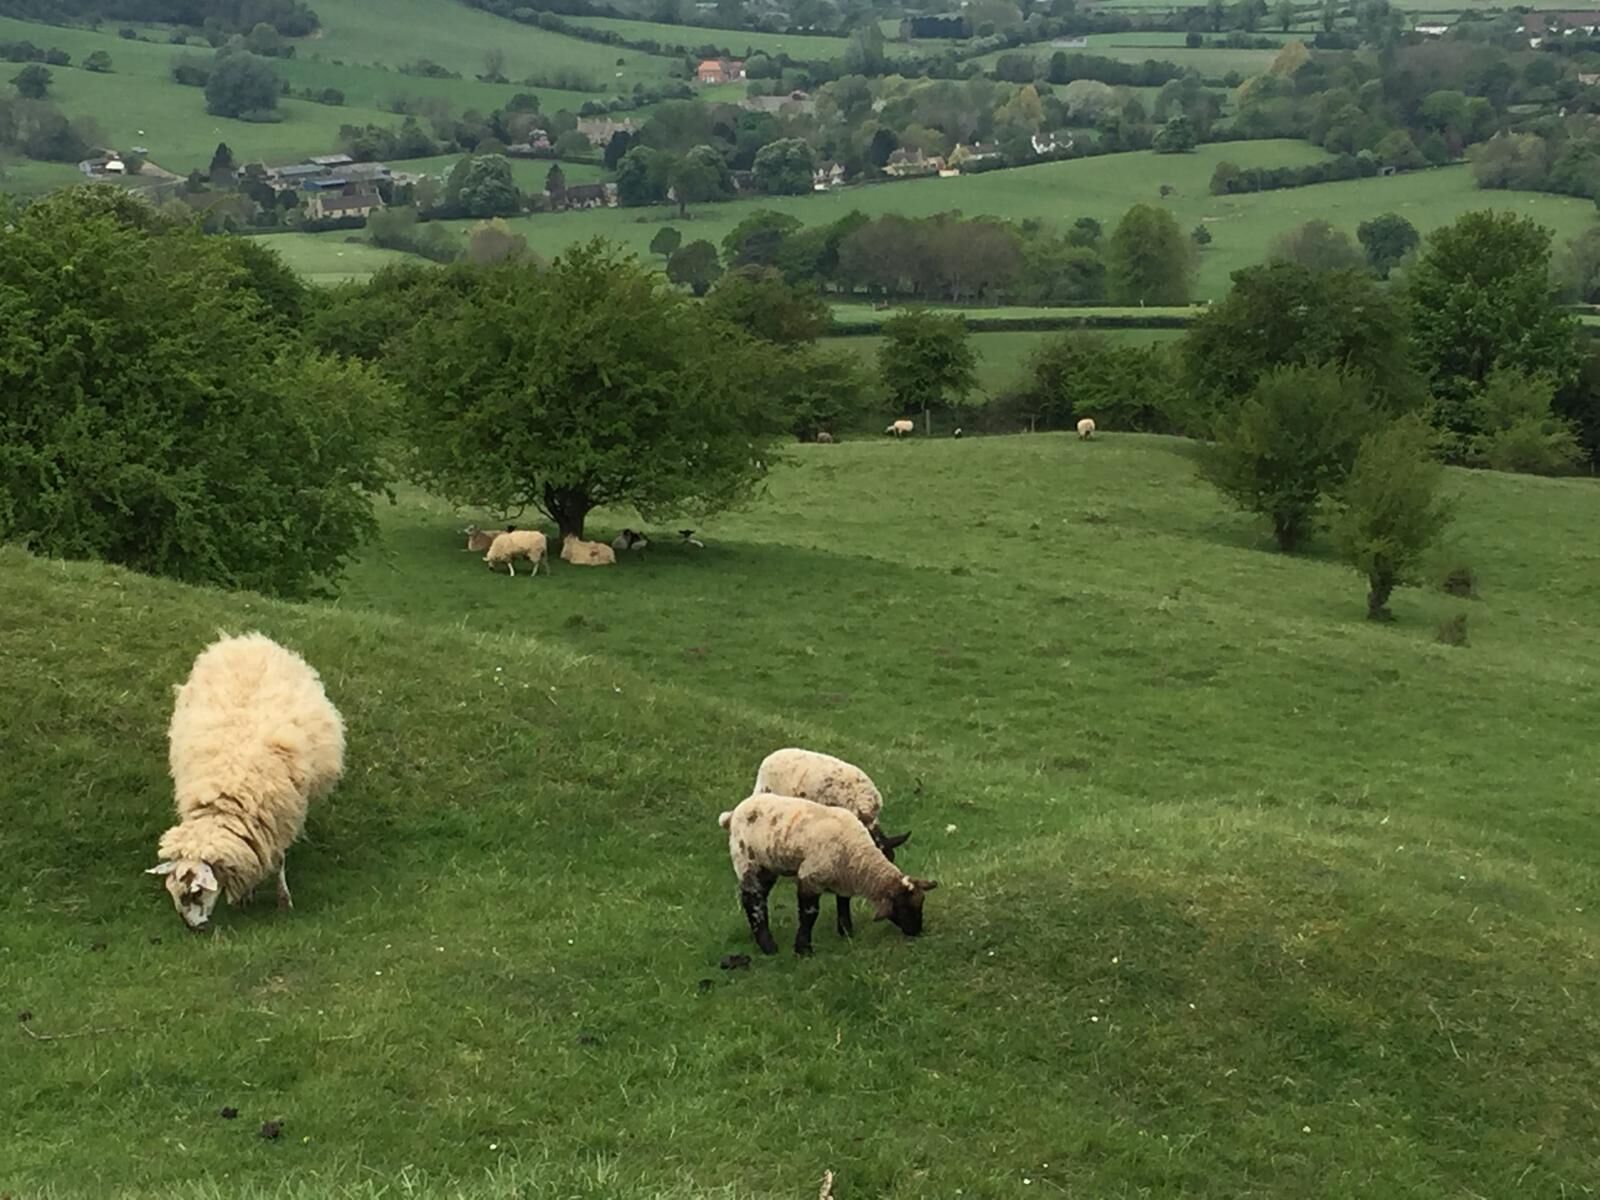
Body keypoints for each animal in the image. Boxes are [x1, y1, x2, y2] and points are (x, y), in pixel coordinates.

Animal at [148, 632, 344, 931]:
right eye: (173, 891)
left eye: (196, 892)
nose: (193, 928)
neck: (226, 798)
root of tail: (244, 640)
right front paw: (246, 896)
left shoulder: (278, 815)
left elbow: (278, 859)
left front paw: (283, 900)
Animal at [718, 794, 938, 955]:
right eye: (904, 908)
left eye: (922, 903)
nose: (916, 932)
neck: (856, 851)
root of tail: (733, 814)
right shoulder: (810, 876)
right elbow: (809, 913)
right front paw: (803, 949)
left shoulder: (843, 877)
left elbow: (843, 902)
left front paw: (846, 932)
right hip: (747, 861)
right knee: (752, 900)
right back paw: (768, 946)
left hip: (768, 866)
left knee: (759, 897)